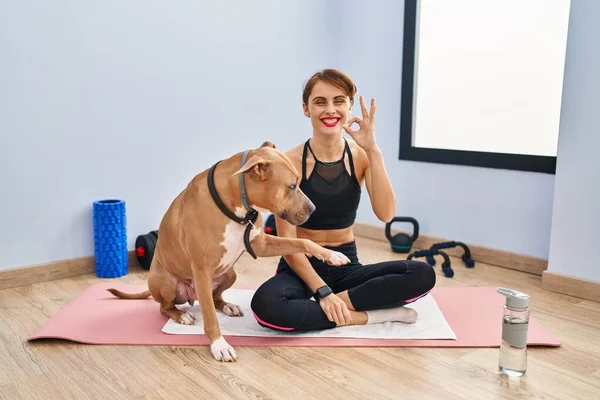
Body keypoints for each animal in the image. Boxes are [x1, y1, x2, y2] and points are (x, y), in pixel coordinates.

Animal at [109, 141, 352, 362]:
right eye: (292, 186)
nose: (313, 208)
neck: (239, 207)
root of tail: (190, 297)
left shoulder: (261, 244)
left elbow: (303, 242)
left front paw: (333, 255)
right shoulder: (202, 269)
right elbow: (209, 316)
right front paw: (219, 346)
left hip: (229, 273)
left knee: (215, 298)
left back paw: (228, 306)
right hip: (167, 281)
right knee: (165, 307)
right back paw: (181, 315)